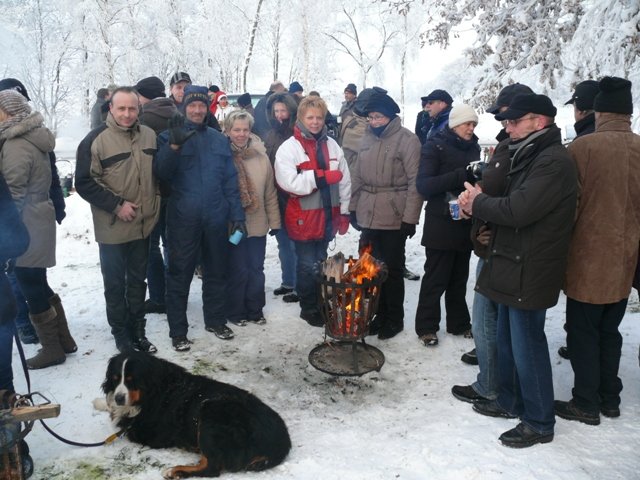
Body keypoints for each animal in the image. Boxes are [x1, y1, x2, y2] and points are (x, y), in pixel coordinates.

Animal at [93, 350, 292, 478]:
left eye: (132, 380)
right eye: (115, 379)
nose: (119, 398)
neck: (154, 391)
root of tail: (282, 440)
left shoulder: (148, 434)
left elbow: (124, 424)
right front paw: (102, 402)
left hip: (210, 412)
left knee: (212, 468)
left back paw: (175, 471)